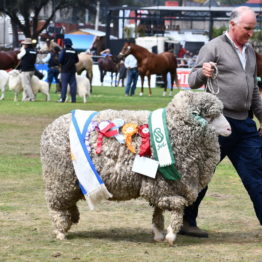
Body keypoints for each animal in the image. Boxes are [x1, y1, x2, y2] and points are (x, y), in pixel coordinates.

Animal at [39, 91, 231, 245]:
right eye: (212, 115)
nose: (230, 129)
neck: (173, 128)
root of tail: (49, 129)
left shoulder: (160, 186)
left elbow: (159, 210)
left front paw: (158, 233)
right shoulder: (162, 185)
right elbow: (178, 207)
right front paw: (170, 236)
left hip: (71, 181)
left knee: (68, 202)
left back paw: (71, 219)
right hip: (59, 177)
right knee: (57, 206)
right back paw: (61, 231)